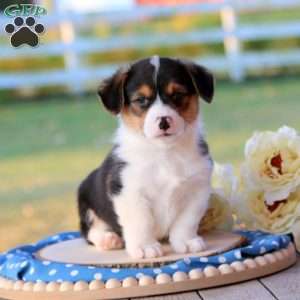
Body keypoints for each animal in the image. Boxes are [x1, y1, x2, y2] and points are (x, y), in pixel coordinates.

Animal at [77, 55, 213, 258]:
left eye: (177, 95)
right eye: (141, 100)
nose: (164, 122)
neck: (164, 152)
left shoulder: (197, 191)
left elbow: (186, 221)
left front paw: (186, 242)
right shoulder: (129, 193)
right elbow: (141, 222)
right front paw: (145, 247)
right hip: (86, 200)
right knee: (90, 230)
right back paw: (108, 239)